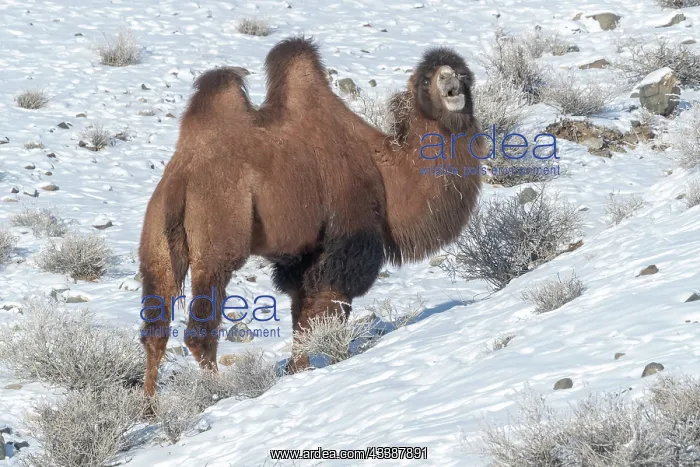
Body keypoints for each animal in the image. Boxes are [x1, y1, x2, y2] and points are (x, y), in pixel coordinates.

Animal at [138, 36, 484, 397]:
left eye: (462, 72)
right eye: (427, 80)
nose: (451, 83)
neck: (384, 170)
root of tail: (181, 179)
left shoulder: (302, 252)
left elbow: (301, 312)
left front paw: (297, 370)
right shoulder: (348, 235)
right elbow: (328, 309)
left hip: (156, 242)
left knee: (155, 329)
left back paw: (150, 404)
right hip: (218, 233)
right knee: (199, 329)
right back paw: (218, 392)